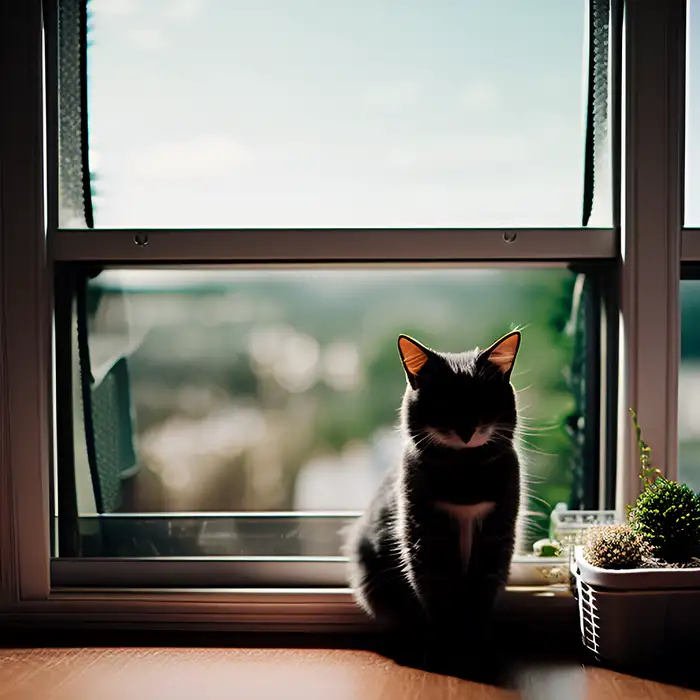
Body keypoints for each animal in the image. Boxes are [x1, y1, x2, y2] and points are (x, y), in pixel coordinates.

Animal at [342, 330, 524, 668]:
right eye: (443, 403)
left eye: (483, 400)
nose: (466, 432)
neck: (464, 468)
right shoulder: (424, 537)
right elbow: (436, 596)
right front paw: (443, 648)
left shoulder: (496, 536)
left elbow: (482, 592)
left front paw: (479, 646)